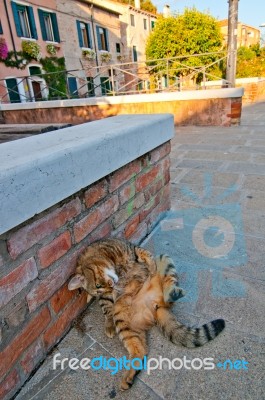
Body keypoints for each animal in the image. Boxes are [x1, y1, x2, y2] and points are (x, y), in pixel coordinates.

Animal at [67, 239, 223, 390]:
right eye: (99, 289)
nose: (112, 286)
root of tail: (154, 305)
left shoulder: (129, 248)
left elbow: (144, 253)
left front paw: (150, 266)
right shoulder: (106, 298)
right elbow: (106, 308)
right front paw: (108, 324)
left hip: (164, 258)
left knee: (169, 280)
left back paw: (171, 291)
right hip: (123, 321)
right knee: (140, 351)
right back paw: (128, 378)